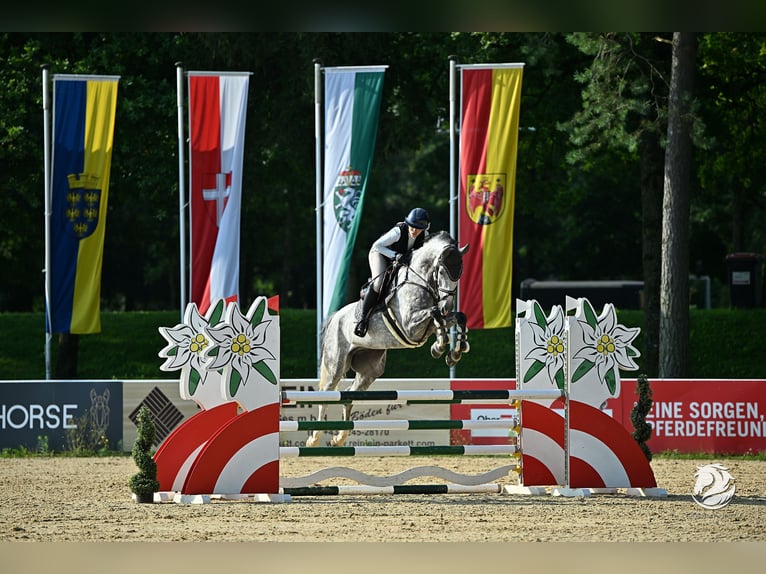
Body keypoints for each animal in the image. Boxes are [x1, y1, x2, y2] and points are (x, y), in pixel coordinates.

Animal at [308, 232, 472, 448]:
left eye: (459, 273)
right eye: (442, 271)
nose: (447, 305)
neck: (419, 281)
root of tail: (335, 317)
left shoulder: (428, 324)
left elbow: (457, 317)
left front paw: (454, 352)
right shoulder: (410, 326)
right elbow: (434, 313)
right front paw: (439, 346)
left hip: (370, 370)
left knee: (349, 395)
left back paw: (339, 438)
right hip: (336, 364)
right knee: (326, 395)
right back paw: (314, 438)